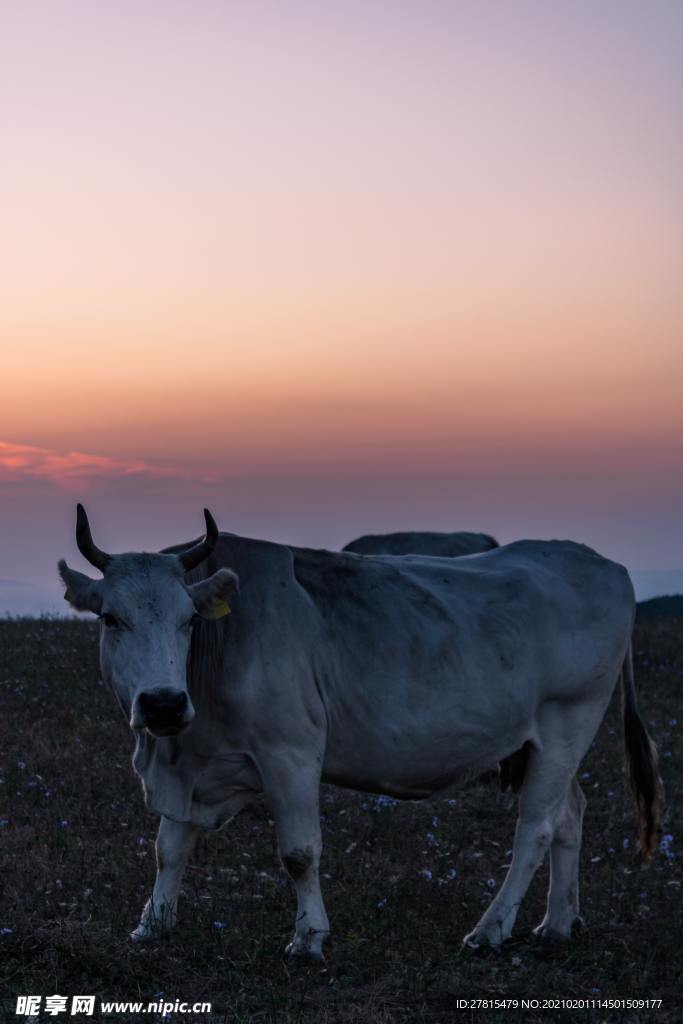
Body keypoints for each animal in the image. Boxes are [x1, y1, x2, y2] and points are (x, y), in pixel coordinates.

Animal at [60, 507, 663, 954]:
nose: (163, 703)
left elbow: (299, 852)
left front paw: (309, 936)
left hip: (568, 721)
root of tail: (601, 562)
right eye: (110, 618)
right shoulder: (191, 761)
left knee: (536, 827)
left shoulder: (291, 753)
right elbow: (169, 847)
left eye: (188, 619)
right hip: (546, 743)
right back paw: (558, 923)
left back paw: (490, 929)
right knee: (570, 814)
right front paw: (152, 923)